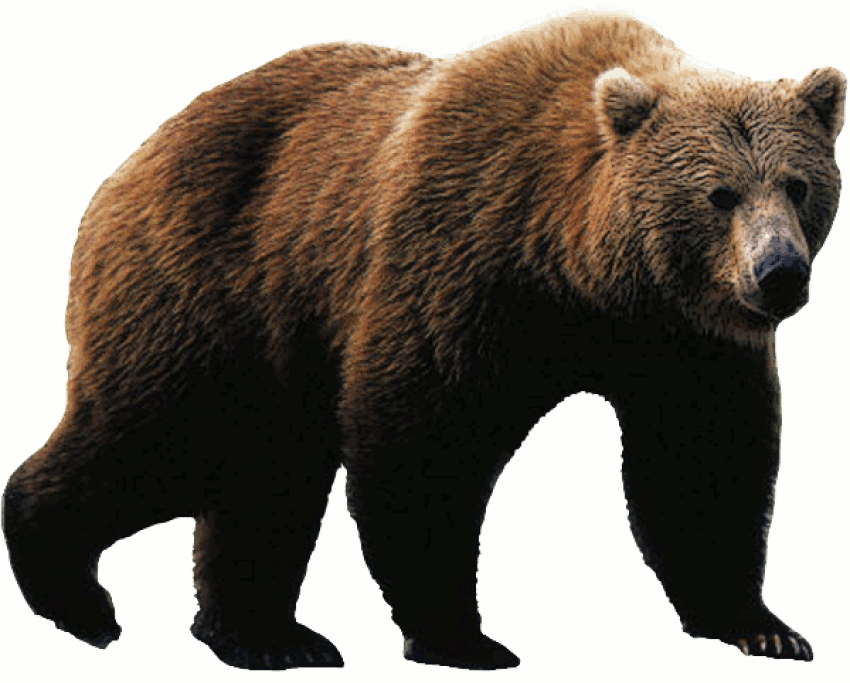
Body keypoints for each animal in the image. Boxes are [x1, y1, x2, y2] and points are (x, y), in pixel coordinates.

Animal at [1, 10, 844, 671]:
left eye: (799, 184)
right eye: (719, 193)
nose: (779, 274)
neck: (583, 270)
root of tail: (129, 161)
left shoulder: (680, 338)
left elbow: (703, 463)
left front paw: (763, 626)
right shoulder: (462, 258)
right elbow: (425, 437)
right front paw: (462, 635)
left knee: (264, 472)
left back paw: (265, 634)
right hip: (212, 281)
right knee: (159, 434)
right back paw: (78, 597)